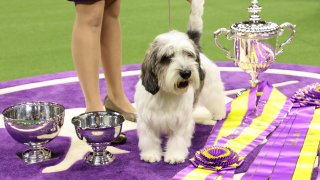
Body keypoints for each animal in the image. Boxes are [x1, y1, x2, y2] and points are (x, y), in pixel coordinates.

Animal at [134, 0, 226, 164]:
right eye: (167, 57)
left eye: (188, 54)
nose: (186, 72)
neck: (167, 93)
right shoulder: (146, 122)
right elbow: (149, 140)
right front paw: (151, 154)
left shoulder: (182, 122)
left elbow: (178, 140)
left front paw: (174, 156)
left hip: (211, 88)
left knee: (217, 100)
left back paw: (219, 113)